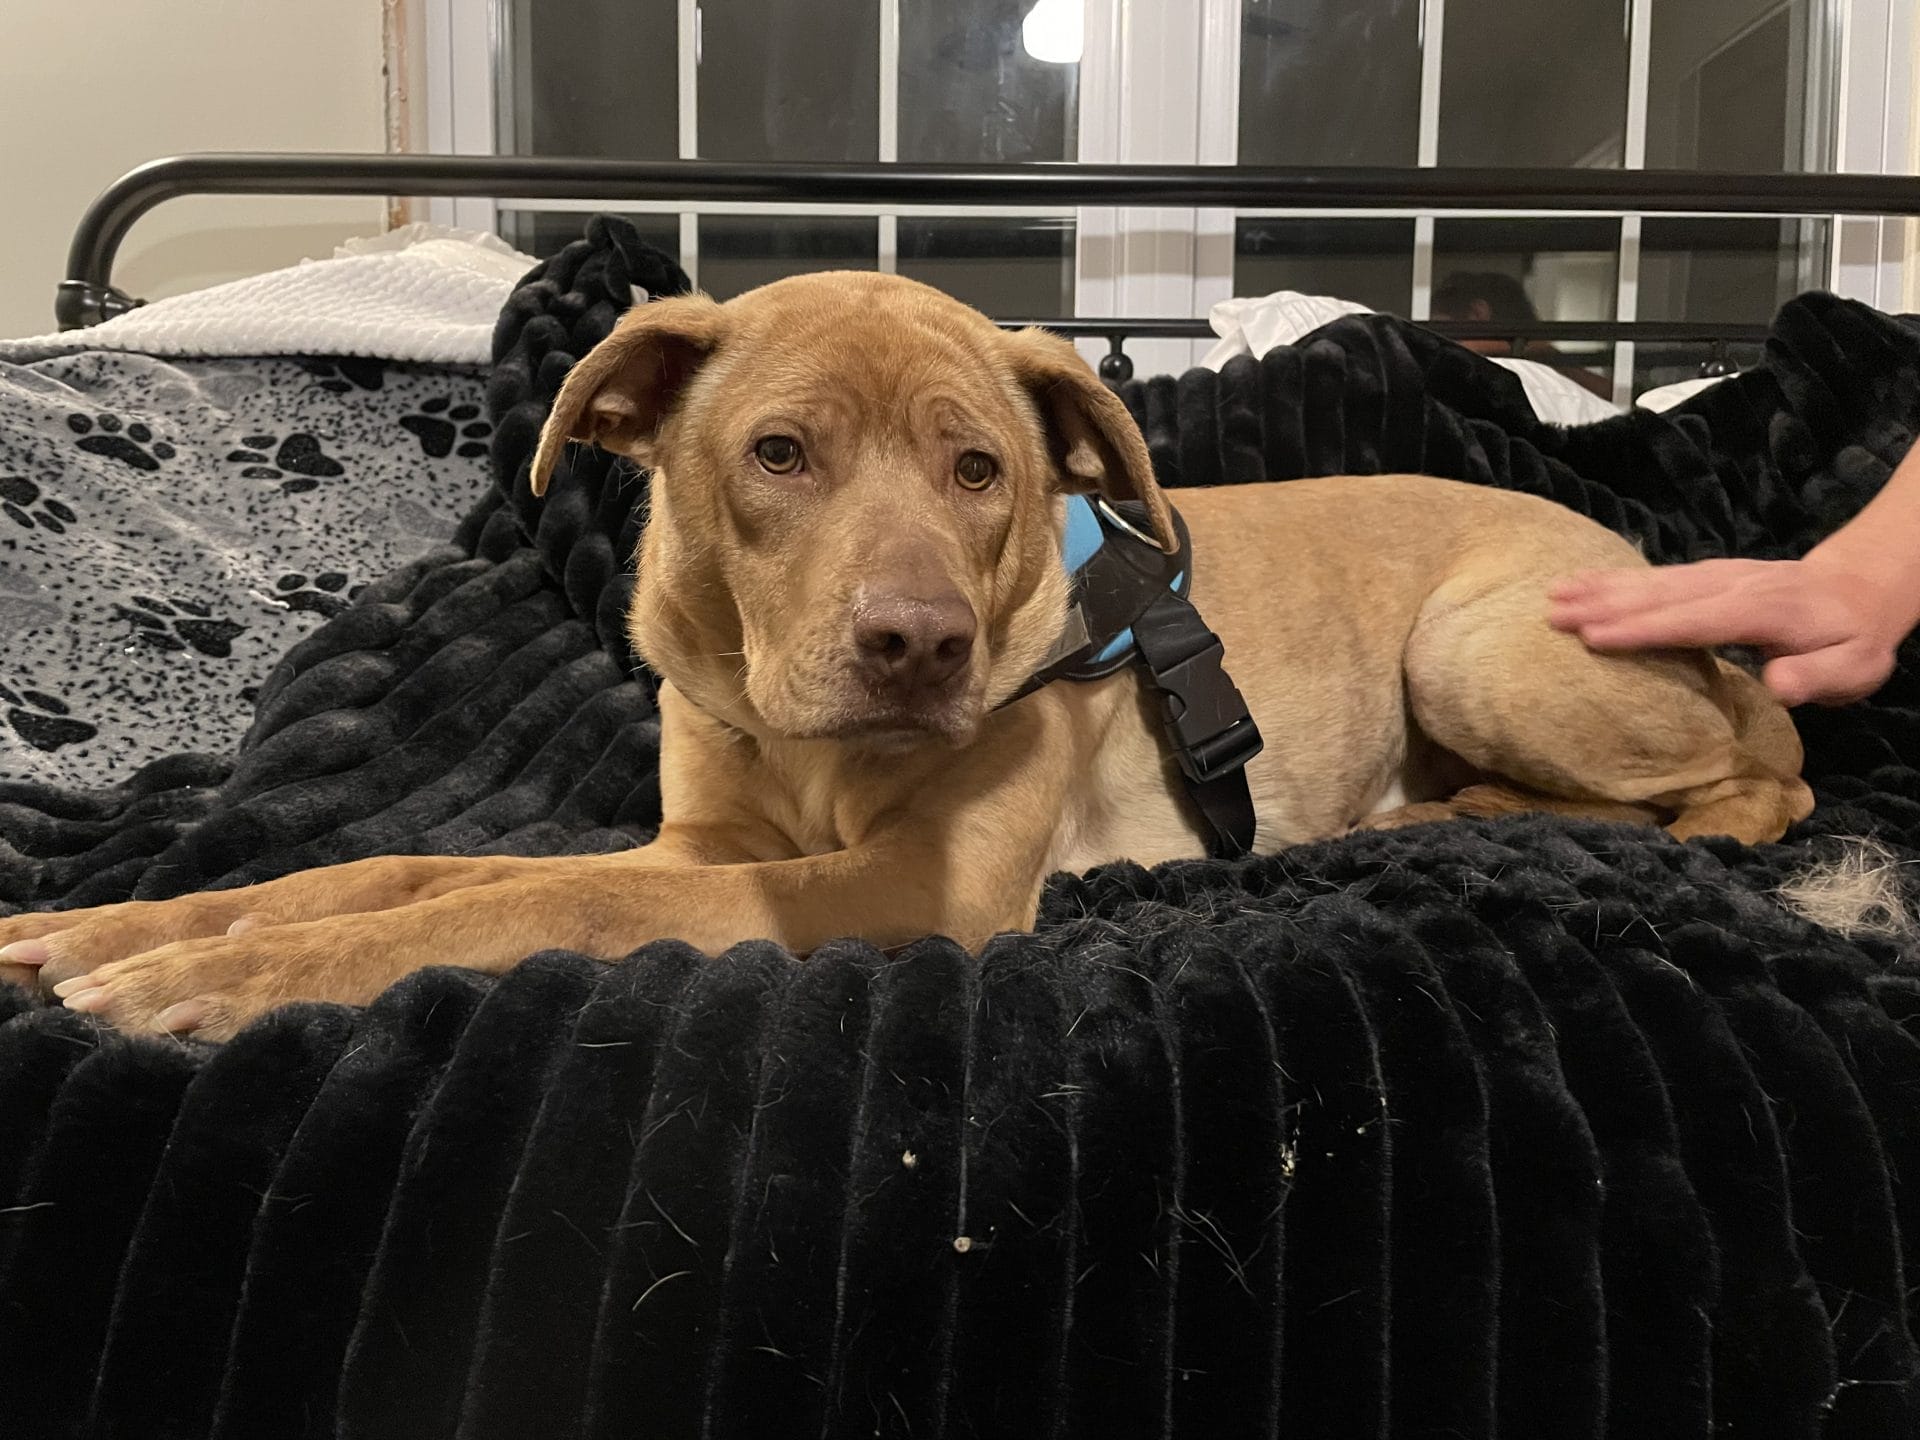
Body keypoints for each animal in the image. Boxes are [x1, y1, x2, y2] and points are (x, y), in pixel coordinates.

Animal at [0, 272, 1813, 1039]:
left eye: (979, 471)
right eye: (778, 454)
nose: (917, 643)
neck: (794, 740)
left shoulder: (894, 889)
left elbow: (525, 908)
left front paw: (226, 982)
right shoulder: (704, 840)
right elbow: (395, 877)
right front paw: (130, 934)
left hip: (1477, 645)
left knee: (1758, 786)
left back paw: (1482, 816)